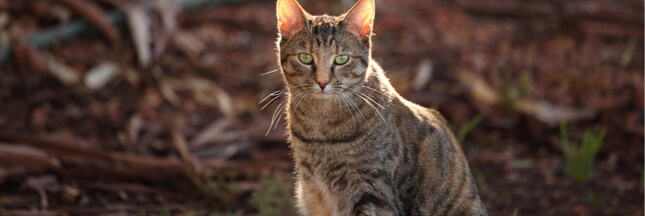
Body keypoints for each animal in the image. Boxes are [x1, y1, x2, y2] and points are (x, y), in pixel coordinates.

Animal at [274, 0, 486, 214]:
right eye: (305, 58)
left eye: (342, 59)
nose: (322, 82)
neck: (320, 123)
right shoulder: (313, 191)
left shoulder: (372, 191)